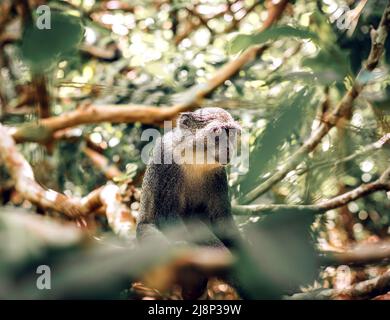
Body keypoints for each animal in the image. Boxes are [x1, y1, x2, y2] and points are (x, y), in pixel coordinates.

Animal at [136, 108, 242, 300]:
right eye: (217, 133)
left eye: (230, 133)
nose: (228, 148)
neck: (194, 157)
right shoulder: (167, 161)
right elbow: (169, 217)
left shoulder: (218, 174)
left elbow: (222, 222)